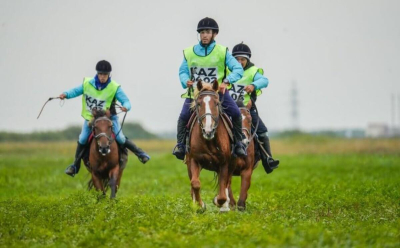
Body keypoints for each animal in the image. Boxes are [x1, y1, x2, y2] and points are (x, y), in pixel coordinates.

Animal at [185, 80, 234, 212]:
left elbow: (222, 194)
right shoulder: (194, 160)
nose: (208, 130)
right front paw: (200, 205)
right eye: (199, 104)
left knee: (227, 184)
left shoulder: (224, 163)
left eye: (217, 103)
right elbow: (195, 183)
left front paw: (219, 202)